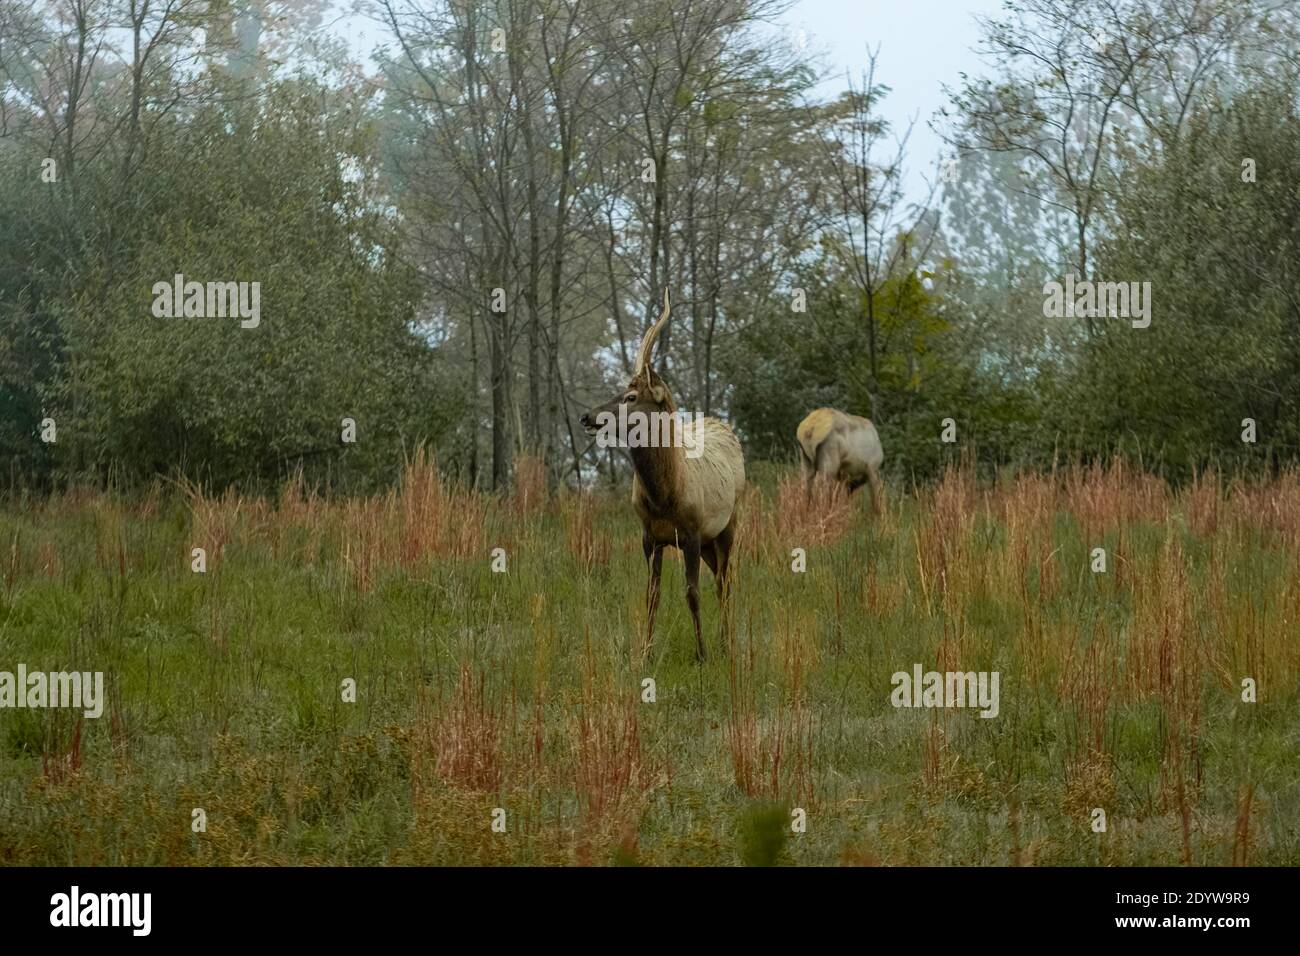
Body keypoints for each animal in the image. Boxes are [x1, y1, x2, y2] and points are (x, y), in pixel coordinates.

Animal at [580, 291, 745, 661]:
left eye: (631, 396)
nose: (587, 416)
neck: (665, 494)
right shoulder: (650, 536)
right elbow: (651, 595)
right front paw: (645, 652)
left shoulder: (693, 533)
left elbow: (692, 592)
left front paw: (702, 653)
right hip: (711, 540)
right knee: (721, 579)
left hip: (729, 525)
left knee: (725, 582)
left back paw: (726, 643)